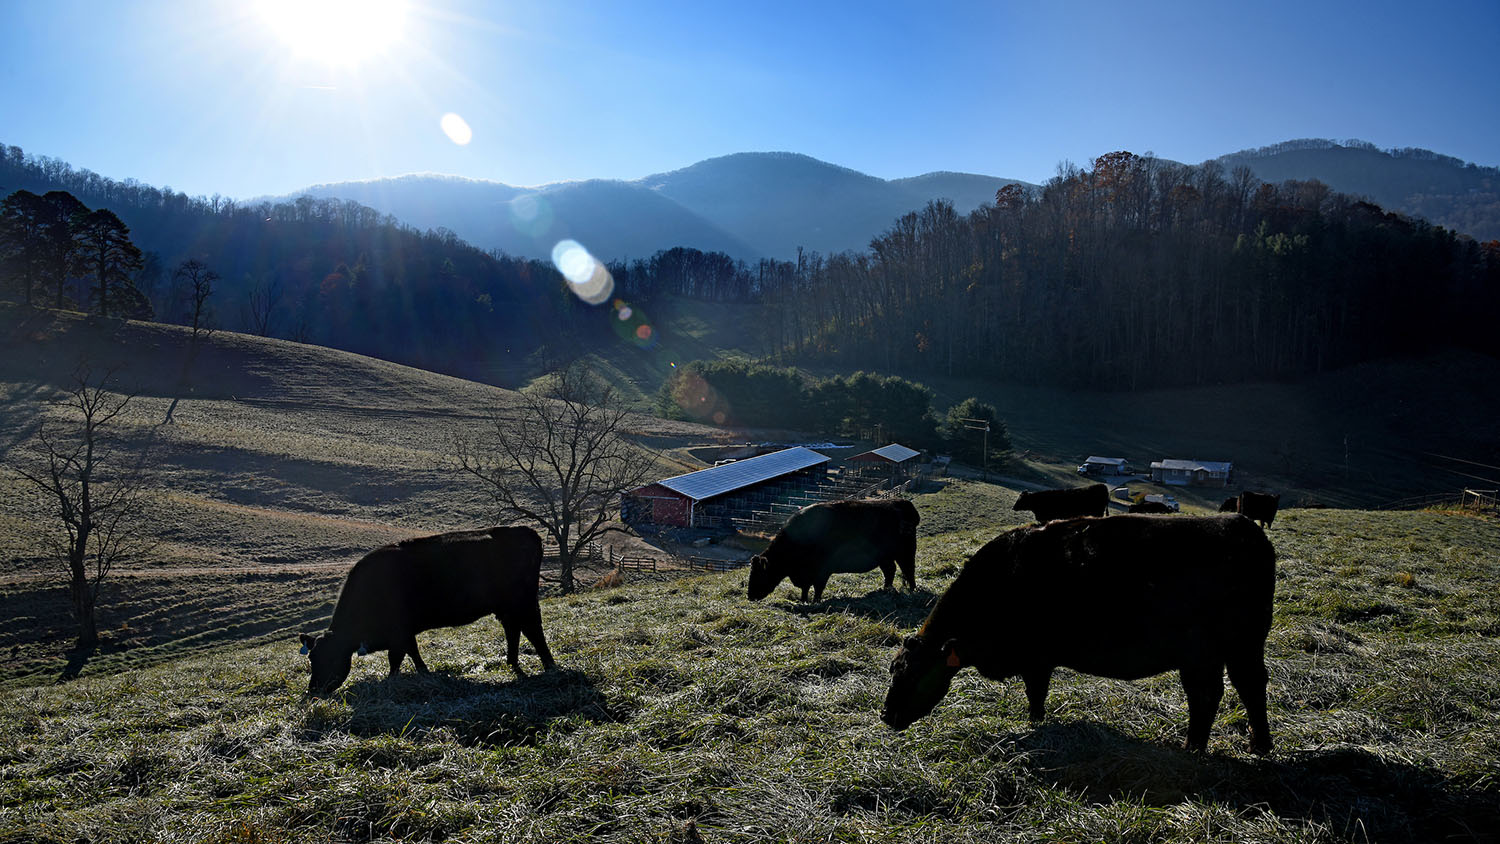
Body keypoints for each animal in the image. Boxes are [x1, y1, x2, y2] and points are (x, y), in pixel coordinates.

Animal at [295, 524, 555, 695]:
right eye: (312, 658)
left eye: (330, 657)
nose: (313, 690)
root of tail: (524, 531)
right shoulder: (405, 632)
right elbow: (413, 652)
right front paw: (424, 673)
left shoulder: (398, 632)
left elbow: (395, 658)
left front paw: (391, 681)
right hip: (505, 607)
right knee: (513, 629)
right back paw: (511, 663)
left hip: (523, 602)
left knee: (533, 629)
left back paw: (549, 665)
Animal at [747, 497, 918, 605]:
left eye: (759, 573)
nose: (750, 595)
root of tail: (902, 502)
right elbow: (805, 588)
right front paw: (803, 600)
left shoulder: (822, 571)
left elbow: (818, 588)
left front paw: (815, 602)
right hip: (884, 557)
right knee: (890, 570)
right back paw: (885, 590)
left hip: (906, 553)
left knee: (908, 570)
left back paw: (912, 590)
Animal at [876, 512, 1278, 755]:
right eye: (894, 670)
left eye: (910, 673)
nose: (886, 714)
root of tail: (1242, 524)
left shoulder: (1036, 659)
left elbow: (1036, 696)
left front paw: (1036, 725)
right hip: (1225, 652)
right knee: (1231, 690)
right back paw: (1250, 745)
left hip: (1220, 650)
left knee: (1222, 692)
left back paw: (1202, 747)